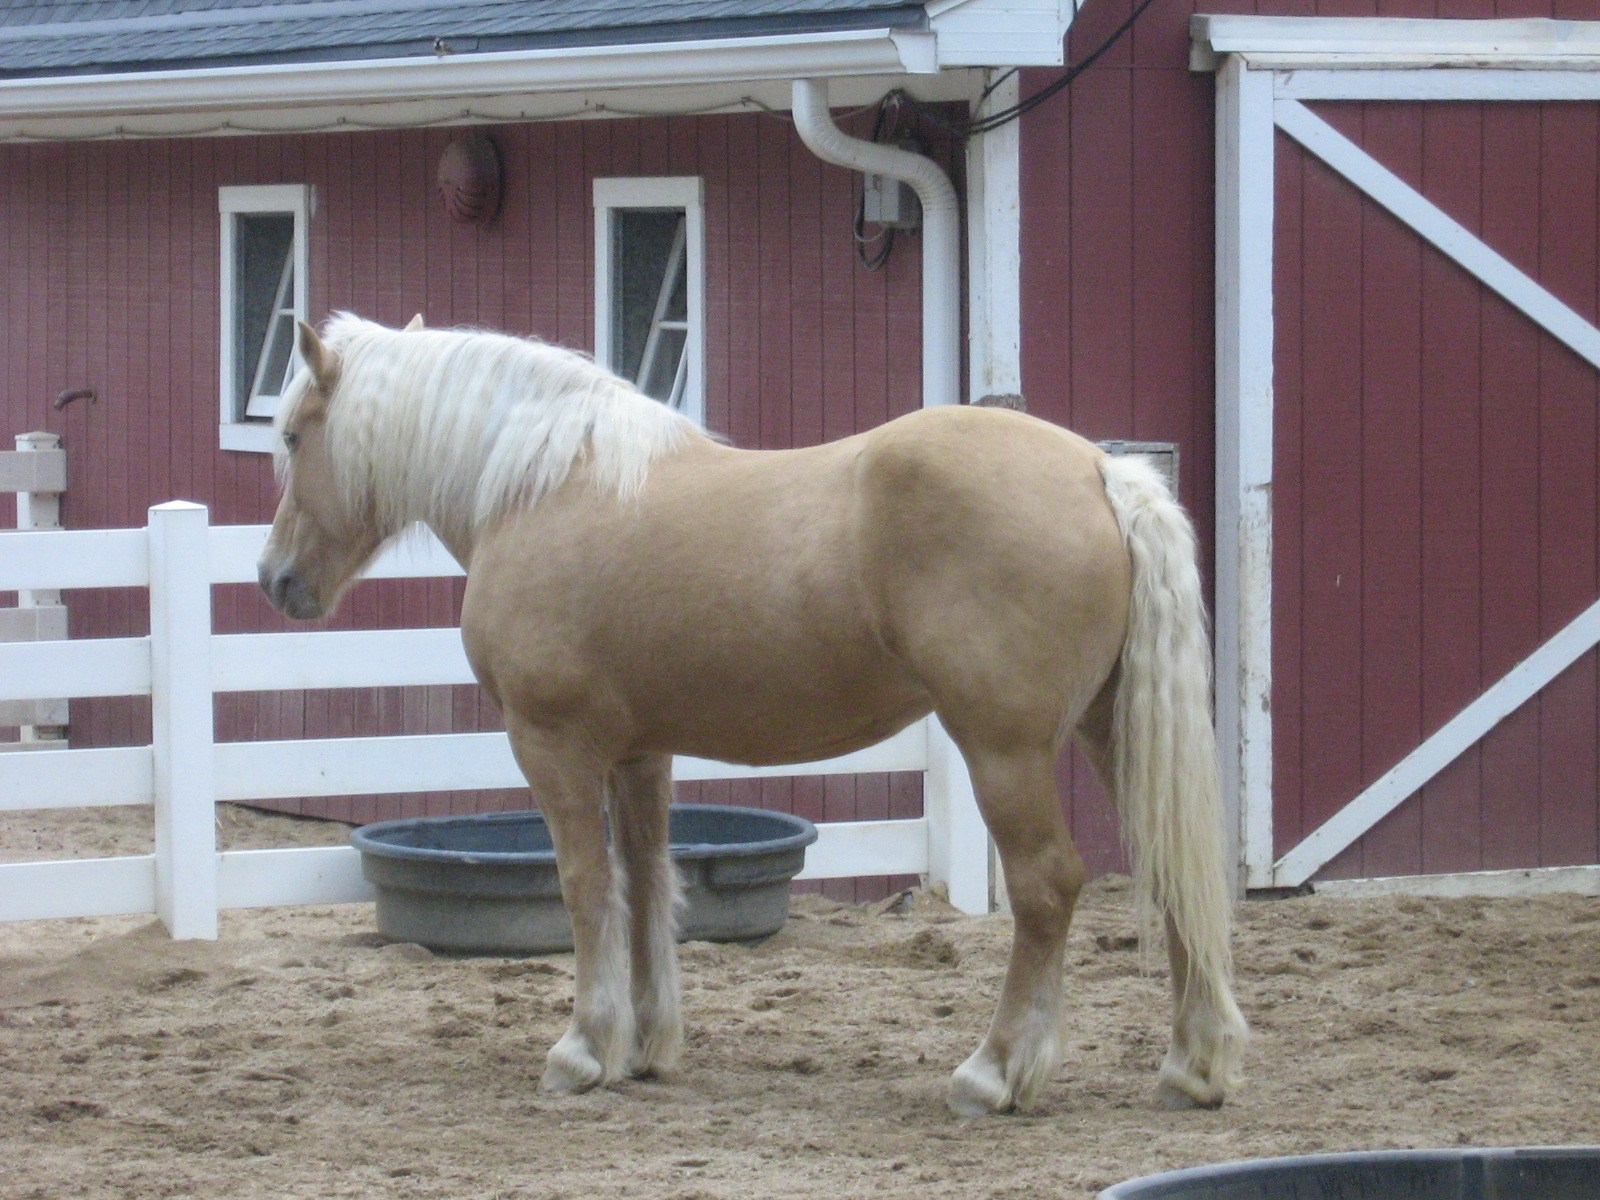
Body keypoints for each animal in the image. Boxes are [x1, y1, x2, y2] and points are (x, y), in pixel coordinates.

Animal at [259, 313, 1247, 1117]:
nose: (276, 580)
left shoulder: (554, 745)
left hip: (1004, 750)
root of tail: (1099, 469)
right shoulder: (639, 755)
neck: (544, 489)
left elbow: (585, 886)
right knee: (1169, 867)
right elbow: (648, 881)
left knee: (1045, 886)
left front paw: (583, 1050)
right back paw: (1193, 1065)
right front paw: (647, 1046)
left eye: (295, 435)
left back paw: (994, 1072)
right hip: (1108, 732)